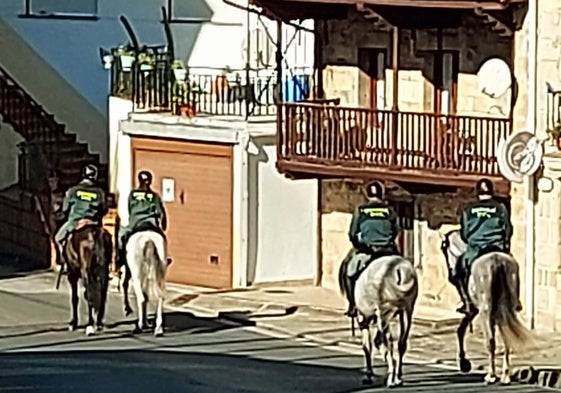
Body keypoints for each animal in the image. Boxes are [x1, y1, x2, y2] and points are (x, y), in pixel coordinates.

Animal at [336, 251, 416, 386]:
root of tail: (398, 269)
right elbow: (377, 342)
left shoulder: (364, 318)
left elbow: (367, 346)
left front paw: (369, 375)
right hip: (406, 312)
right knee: (401, 343)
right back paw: (397, 376)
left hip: (384, 314)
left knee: (389, 343)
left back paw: (391, 378)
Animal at [440, 228, 532, 384]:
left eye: (444, 249)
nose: (451, 276)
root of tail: (496, 260)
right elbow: (461, 329)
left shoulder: (473, 310)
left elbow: (461, 330)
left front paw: (463, 361)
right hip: (506, 309)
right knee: (506, 338)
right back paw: (505, 375)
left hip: (485, 311)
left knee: (490, 341)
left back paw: (491, 375)